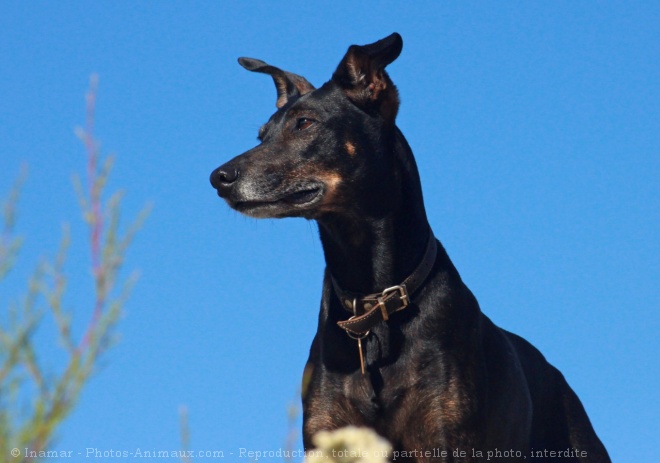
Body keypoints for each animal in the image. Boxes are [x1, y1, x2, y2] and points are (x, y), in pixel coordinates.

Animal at [210, 33, 608, 463]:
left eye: (305, 123)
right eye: (262, 135)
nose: (219, 177)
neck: (373, 306)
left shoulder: (445, 437)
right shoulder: (328, 436)